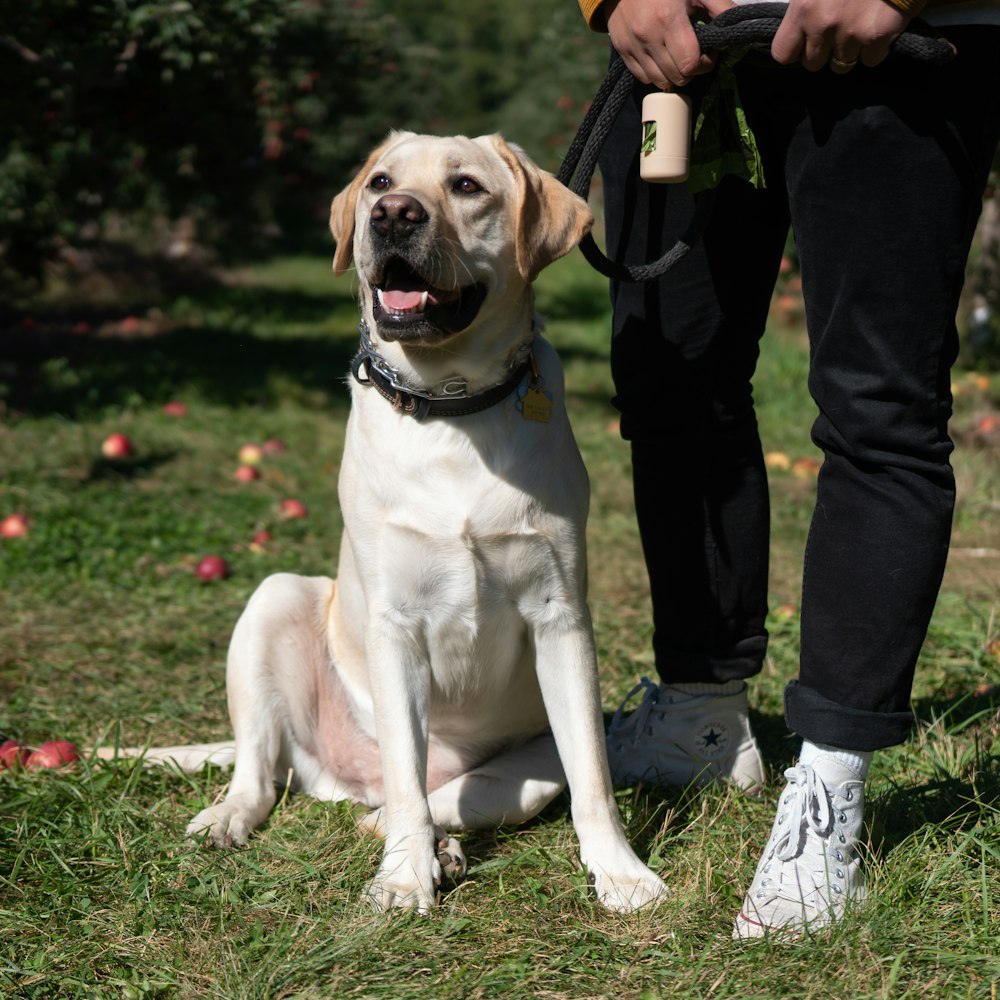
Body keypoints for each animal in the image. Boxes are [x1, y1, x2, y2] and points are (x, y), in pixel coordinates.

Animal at [121, 133, 664, 916]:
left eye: (466, 186)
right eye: (381, 182)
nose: (393, 214)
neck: (451, 405)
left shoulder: (561, 616)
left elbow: (593, 776)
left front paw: (620, 872)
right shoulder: (395, 624)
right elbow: (407, 775)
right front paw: (405, 880)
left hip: (532, 765)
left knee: (451, 796)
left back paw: (444, 845)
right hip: (275, 599)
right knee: (272, 771)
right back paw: (236, 818)